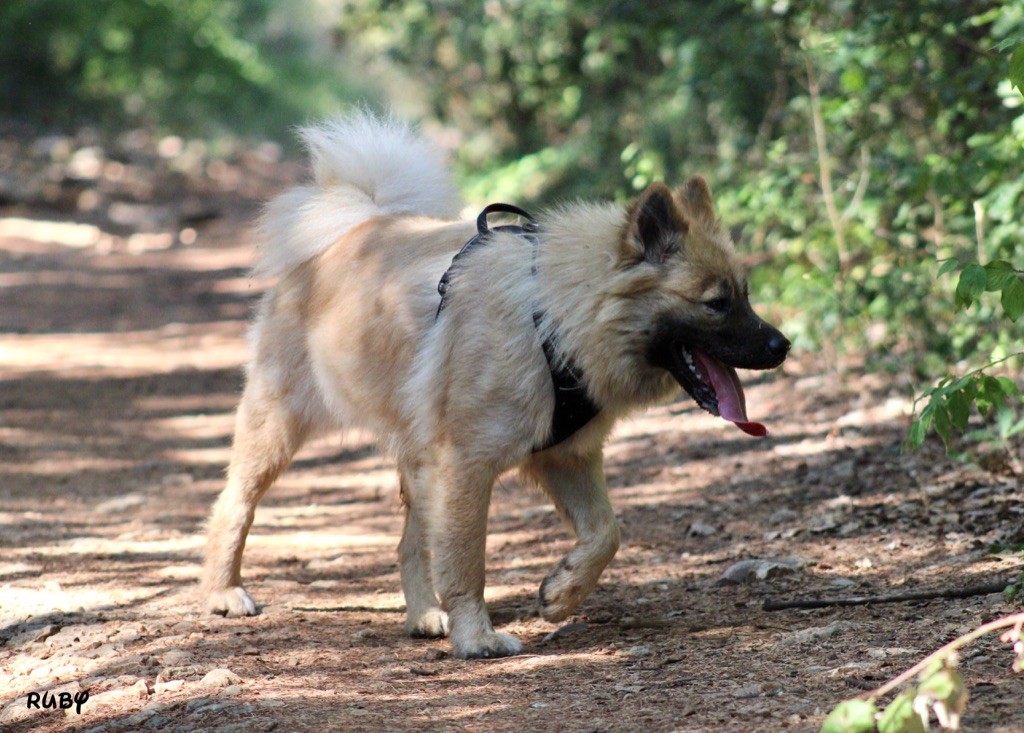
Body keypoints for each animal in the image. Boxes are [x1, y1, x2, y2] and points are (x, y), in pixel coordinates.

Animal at [201, 111, 790, 663]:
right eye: (716, 303)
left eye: (746, 294)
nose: (782, 346)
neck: (553, 317)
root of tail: (348, 227)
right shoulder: (467, 466)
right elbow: (469, 562)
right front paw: (477, 638)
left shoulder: (565, 458)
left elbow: (606, 532)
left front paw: (562, 591)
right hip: (278, 427)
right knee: (234, 504)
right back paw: (223, 592)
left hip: (419, 461)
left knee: (409, 546)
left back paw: (425, 614)